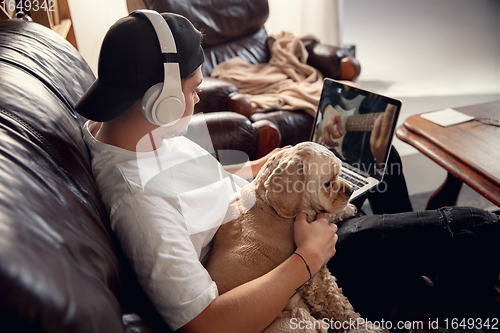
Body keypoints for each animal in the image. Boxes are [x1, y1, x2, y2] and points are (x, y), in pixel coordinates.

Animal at [205, 142, 388, 332]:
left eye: (339, 173)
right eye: (327, 183)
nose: (351, 189)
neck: (267, 203)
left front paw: (348, 209)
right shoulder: (316, 276)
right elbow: (338, 304)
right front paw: (364, 326)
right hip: (299, 318)